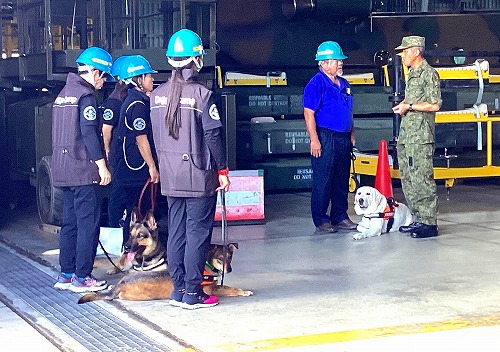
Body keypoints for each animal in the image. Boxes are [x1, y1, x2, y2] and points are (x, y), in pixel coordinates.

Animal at [81, 210, 254, 304]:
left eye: (230, 257)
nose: (229, 270)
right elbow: (229, 289)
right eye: (219, 259)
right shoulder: (212, 289)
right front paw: (244, 292)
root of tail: (122, 284)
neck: (206, 263)